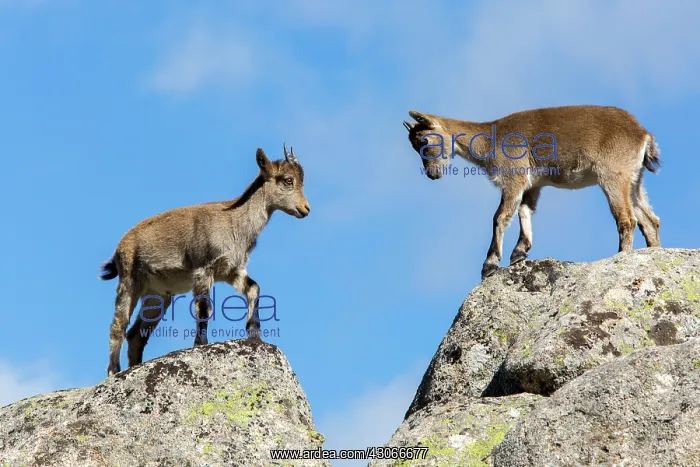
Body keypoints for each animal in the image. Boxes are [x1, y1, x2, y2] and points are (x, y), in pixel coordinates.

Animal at [99, 145, 310, 376]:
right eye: (288, 180)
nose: (305, 209)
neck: (234, 222)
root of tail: (119, 248)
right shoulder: (203, 268)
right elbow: (204, 307)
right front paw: (201, 344)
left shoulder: (231, 270)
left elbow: (254, 288)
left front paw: (254, 333)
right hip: (129, 280)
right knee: (118, 325)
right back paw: (113, 371)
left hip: (158, 294)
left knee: (136, 334)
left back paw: (134, 367)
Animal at [403, 105, 661, 280]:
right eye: (414, 146)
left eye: (425, 141)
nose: (433, 174)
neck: (489, 143)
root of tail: (643, 135)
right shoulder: (533, 184)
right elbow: (525, 210)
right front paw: (520, 252)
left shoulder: (513, 176)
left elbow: (500, 216)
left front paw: (490, 265)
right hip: (634, 180)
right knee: (650, 220)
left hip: (613, 174)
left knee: (626, 218)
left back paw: (620, 257)